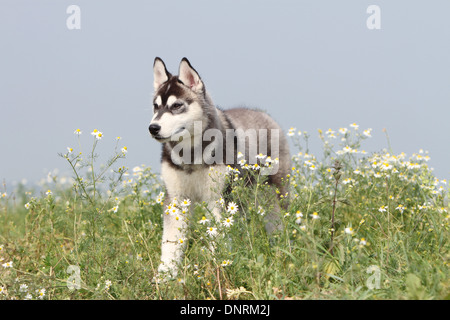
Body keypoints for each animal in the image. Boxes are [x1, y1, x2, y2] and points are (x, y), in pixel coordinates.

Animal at [148, 57, 290, 276]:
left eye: (177, 105)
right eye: (156, 106)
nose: (153, 128)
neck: (191, 155)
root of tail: (263, 114)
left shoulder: (217, 199)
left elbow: (218, 238)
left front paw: (216, 266)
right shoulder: (177, 200)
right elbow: (170, 244)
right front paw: (165, 276)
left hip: (272, 193)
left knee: (277, 221)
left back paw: (281, 248)